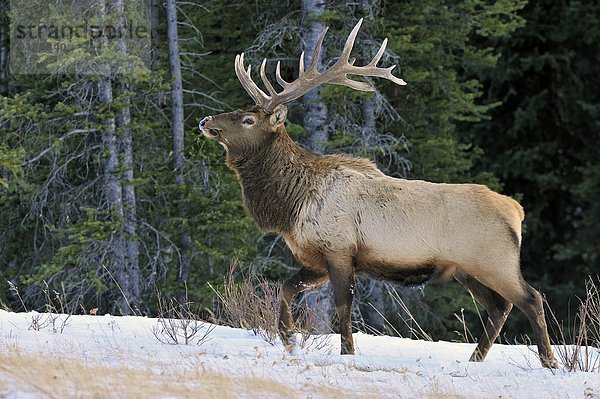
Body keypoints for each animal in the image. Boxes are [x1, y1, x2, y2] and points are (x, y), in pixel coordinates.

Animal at [202, 18, 556, 368]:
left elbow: (343, 308)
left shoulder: (339, 250)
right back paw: (475, 359)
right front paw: (288, 340)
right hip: (465, 269)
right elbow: (287, 289)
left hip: (493, 260)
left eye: (248, 119)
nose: (206, 120)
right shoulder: (316, 258)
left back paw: (550, 361)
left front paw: (346, 353)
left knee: (531, 298)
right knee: (499, 307)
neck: (292, 205)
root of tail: (516, 210)